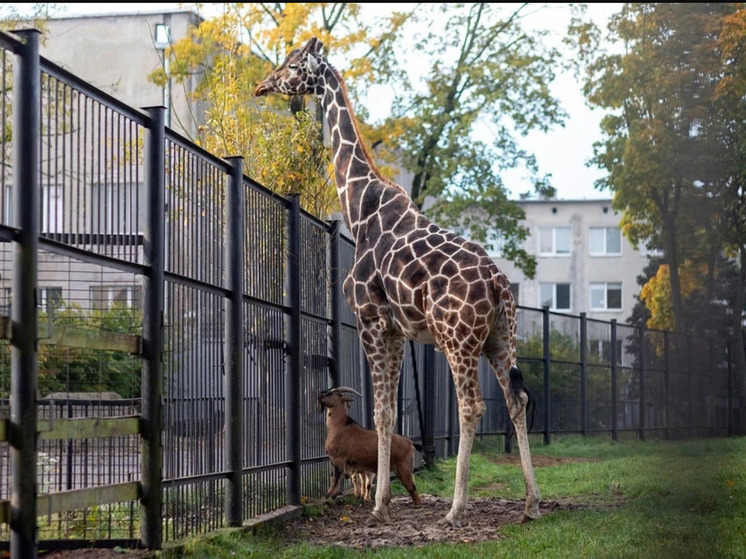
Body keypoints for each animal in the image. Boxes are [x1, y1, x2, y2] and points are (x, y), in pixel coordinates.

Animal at [253, 37, 536, 528]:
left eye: (291, 65)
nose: (261, 85)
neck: (359, 207)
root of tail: (501, 286)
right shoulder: (399, 330)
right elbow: (386, 413)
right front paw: (382, 499)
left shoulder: (371, 320)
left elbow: (382, 412)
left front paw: (379, 504)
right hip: (501, 339)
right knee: (515, 402)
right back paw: (531, 503)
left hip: (458, 340)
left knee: (473, 406)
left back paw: (456, 510)